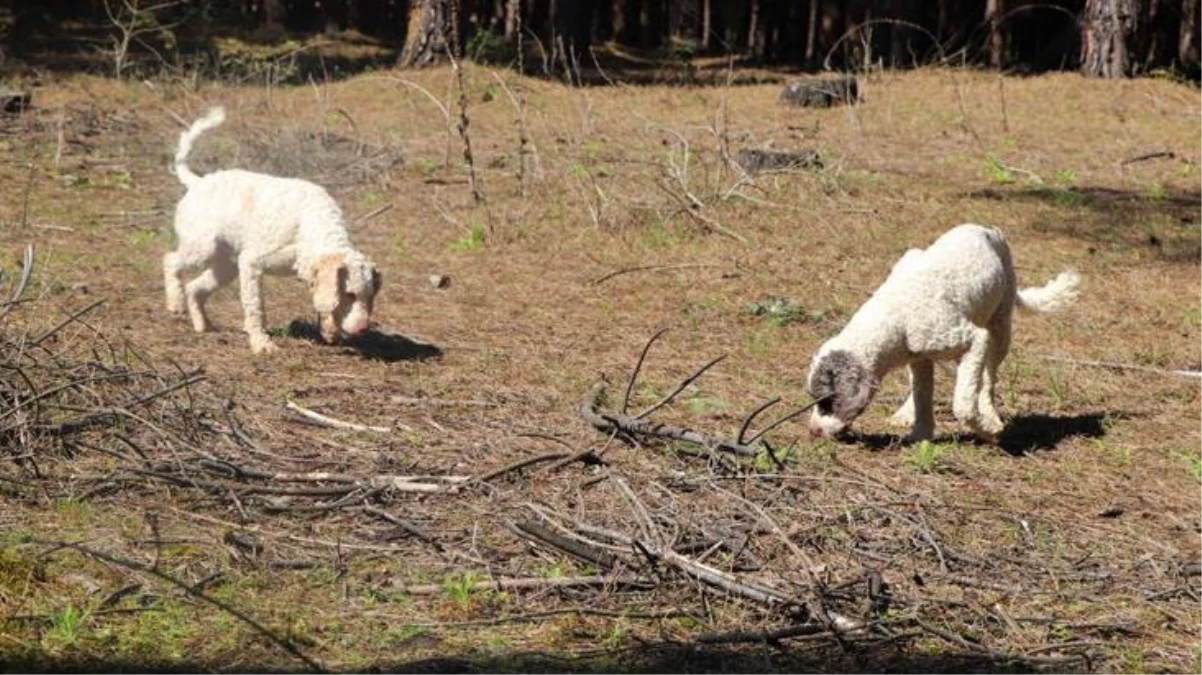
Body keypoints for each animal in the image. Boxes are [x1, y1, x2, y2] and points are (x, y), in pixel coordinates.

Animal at [162, 106, 379, 353]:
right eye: (350, 294)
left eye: (370, 296)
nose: (363, 329)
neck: (309, 225)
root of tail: (197, 182)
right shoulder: (251, 263)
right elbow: (255, 308)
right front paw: (261, 343)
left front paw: (328, 330)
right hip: (203, 248)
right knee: (170, 261)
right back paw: (175, 303)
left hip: (226, 267)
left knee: (194, 288)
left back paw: (202, 324)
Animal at [807, 222, 1081, 441]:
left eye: (827, 402)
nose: (813, 431)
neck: (896, 313)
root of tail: (987, 229)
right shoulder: (920, 357)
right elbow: (923, 395)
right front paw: (921, 433)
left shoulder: (975, 339)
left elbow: (963, 405)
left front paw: (987, 430)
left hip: (1000, 331)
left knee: (987, 380)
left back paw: (990, 414)